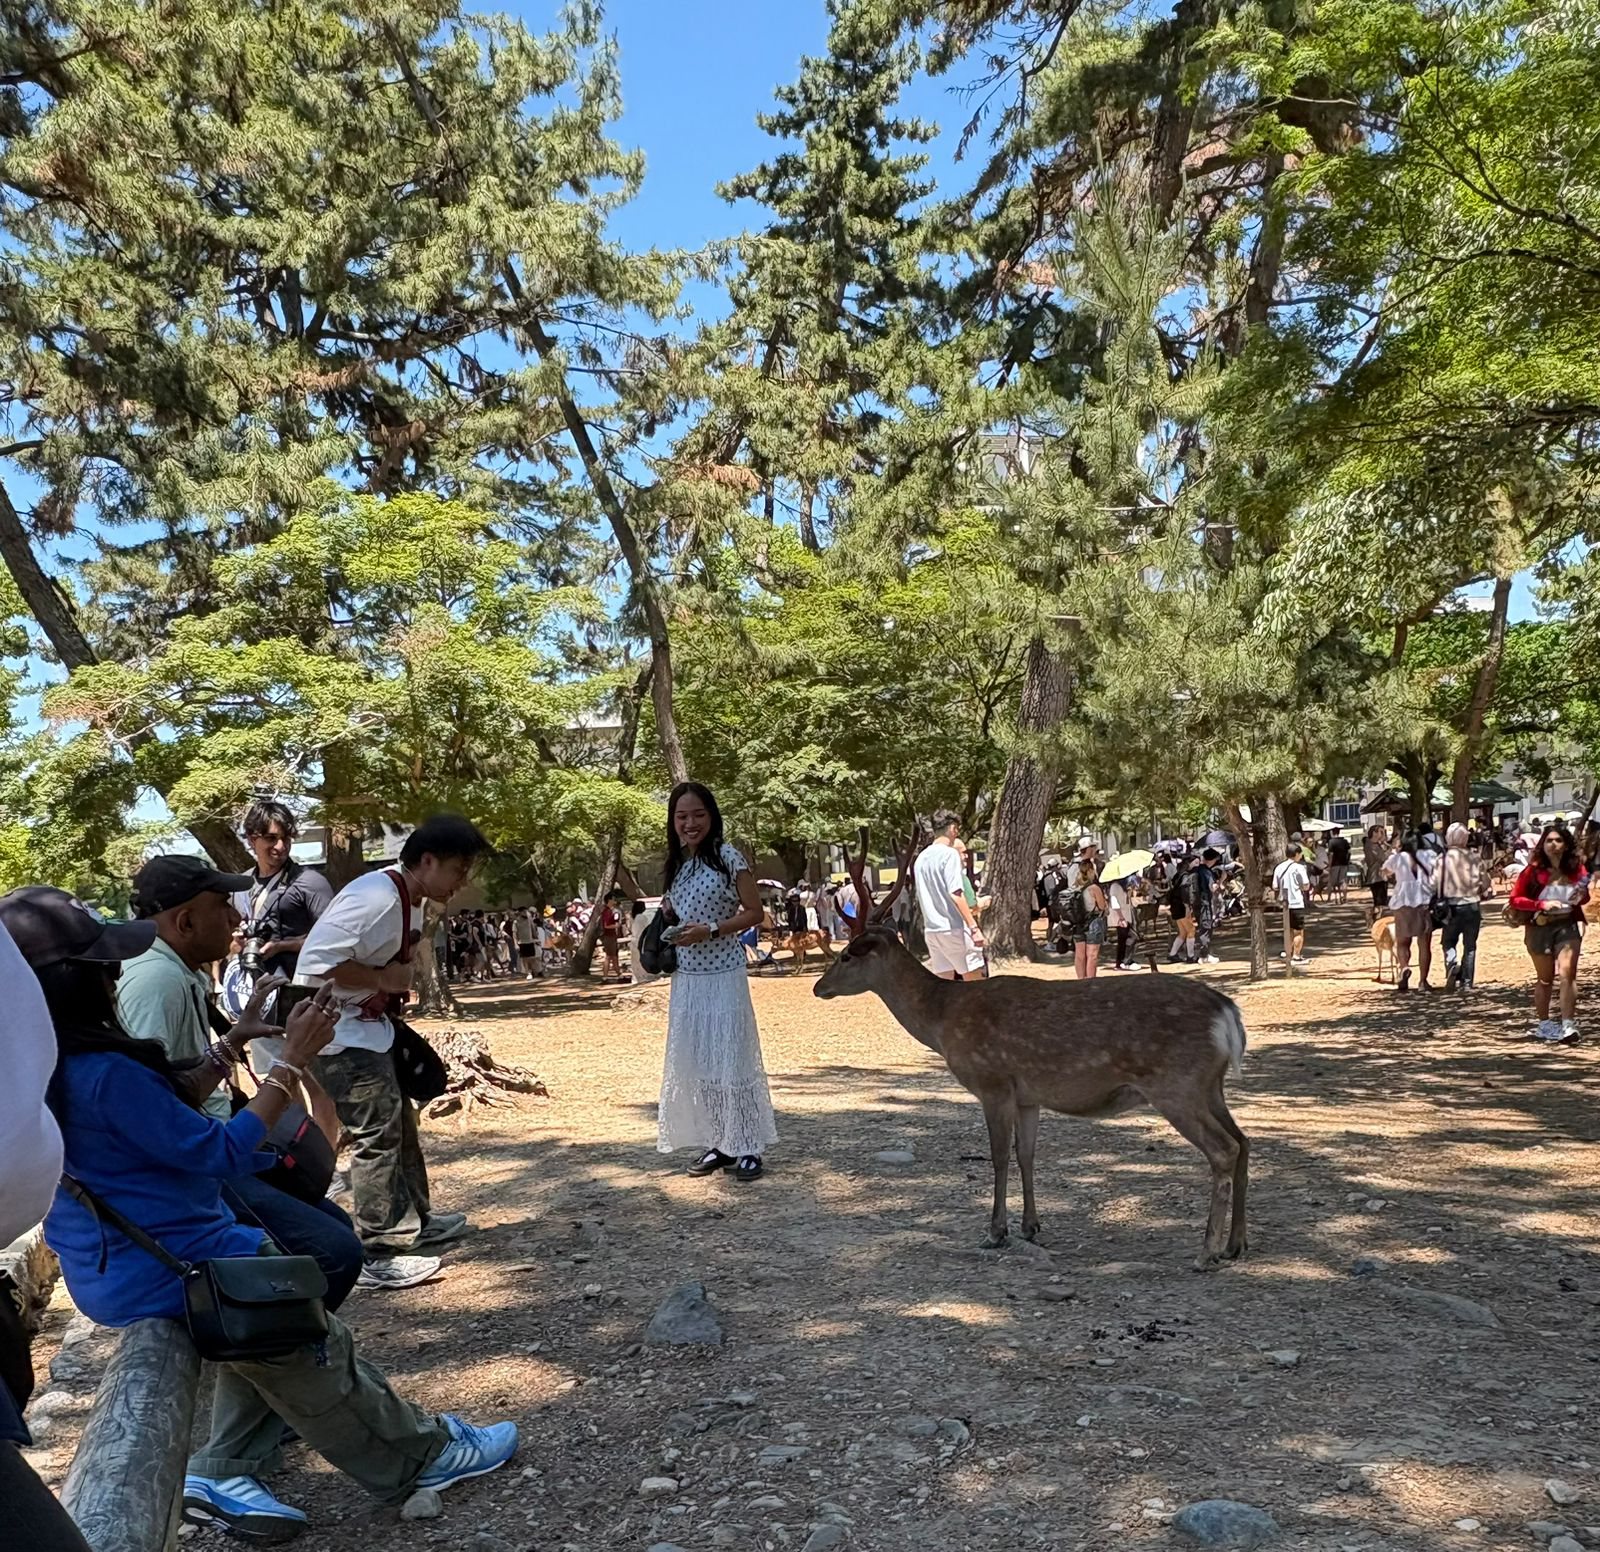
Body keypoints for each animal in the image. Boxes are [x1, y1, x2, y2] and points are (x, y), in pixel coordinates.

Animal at [814, 893, 1250, 1269]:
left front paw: (996, 1232)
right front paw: (1030, 1226)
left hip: (1175, 1084)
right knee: (1244, 1142)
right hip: (1209, 1085)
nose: (819, 987)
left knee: (1224, 1148)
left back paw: (1206, 1252)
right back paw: (1235, 1245)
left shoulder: (993, 1081)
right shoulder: (1028, 1096)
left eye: (848, 954)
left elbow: (999, 1156)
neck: (942, 1020)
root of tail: (1227, 1013)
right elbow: (1027, 1154)